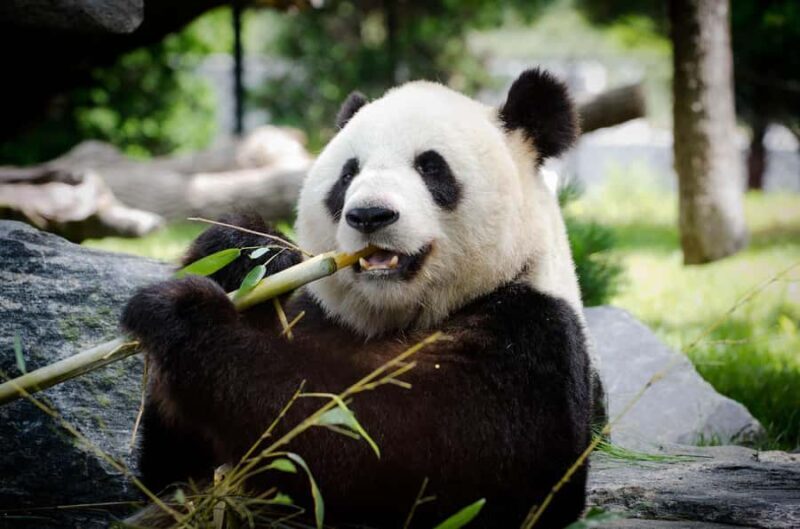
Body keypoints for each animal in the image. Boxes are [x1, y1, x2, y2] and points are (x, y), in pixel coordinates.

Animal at [121, 68, 594, 529]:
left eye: (431, 167)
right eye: (348, 174)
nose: (369, 215)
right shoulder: (319, 317)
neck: (393, 314)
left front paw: (184, 315)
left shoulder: (529, 340)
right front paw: (243, 254)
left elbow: (389, 444)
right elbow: (170, 476)